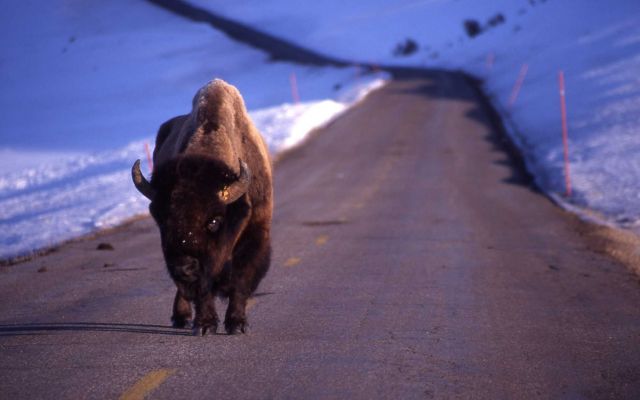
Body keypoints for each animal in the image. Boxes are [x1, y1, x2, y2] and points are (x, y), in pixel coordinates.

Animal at [132, 78, 272, 334]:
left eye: (214, 221)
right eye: (163, 220)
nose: (184, 267)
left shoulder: (256, 231)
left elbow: (241, 279)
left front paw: (237, 324)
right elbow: (202, 291)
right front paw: (205, 325)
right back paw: (181, 318)